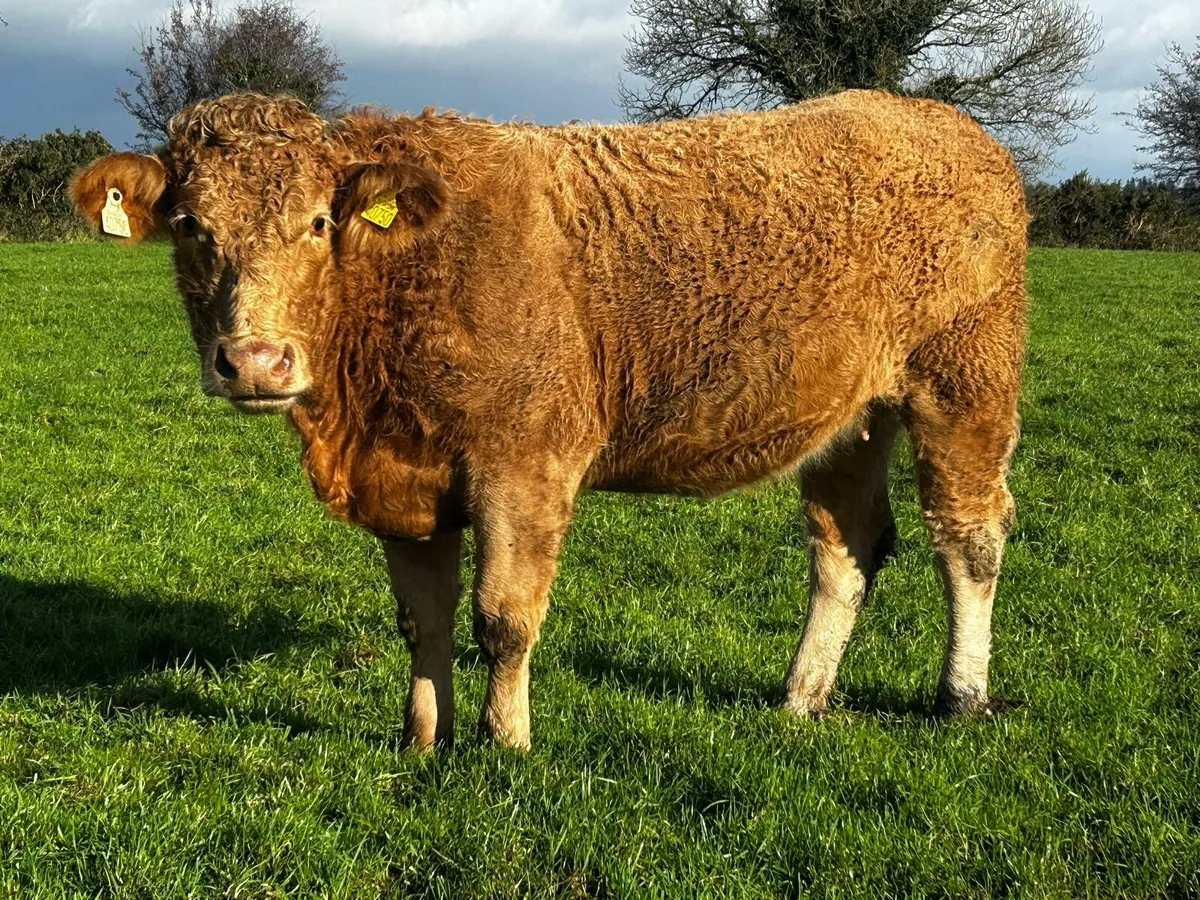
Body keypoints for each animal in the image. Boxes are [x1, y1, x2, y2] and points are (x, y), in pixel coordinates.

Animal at [71, 90, 1026, 751]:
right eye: (190, 226)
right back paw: (801, 696)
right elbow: (423, 619)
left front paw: (505, 743)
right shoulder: (405, 480)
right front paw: (424, 739)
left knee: (969, 536)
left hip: (965, 379)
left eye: (317, 222)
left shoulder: (522, 466)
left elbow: (503, 617)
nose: (255, 361)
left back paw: (963, 696)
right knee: (846, 545)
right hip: (850, 417)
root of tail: (938, 118)